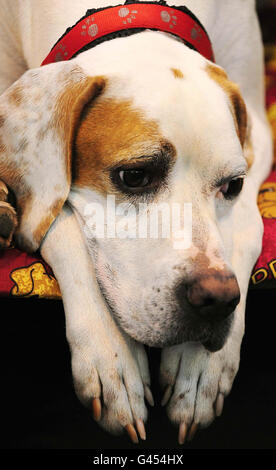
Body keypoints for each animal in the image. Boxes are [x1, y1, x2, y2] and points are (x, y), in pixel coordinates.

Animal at [0, 0, 272, 444]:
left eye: (232, 185)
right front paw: (111, 355)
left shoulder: (258, 134)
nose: (216, 300)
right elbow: (57, 216)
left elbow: (249, 226)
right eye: (134, 176)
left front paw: (200, 367)